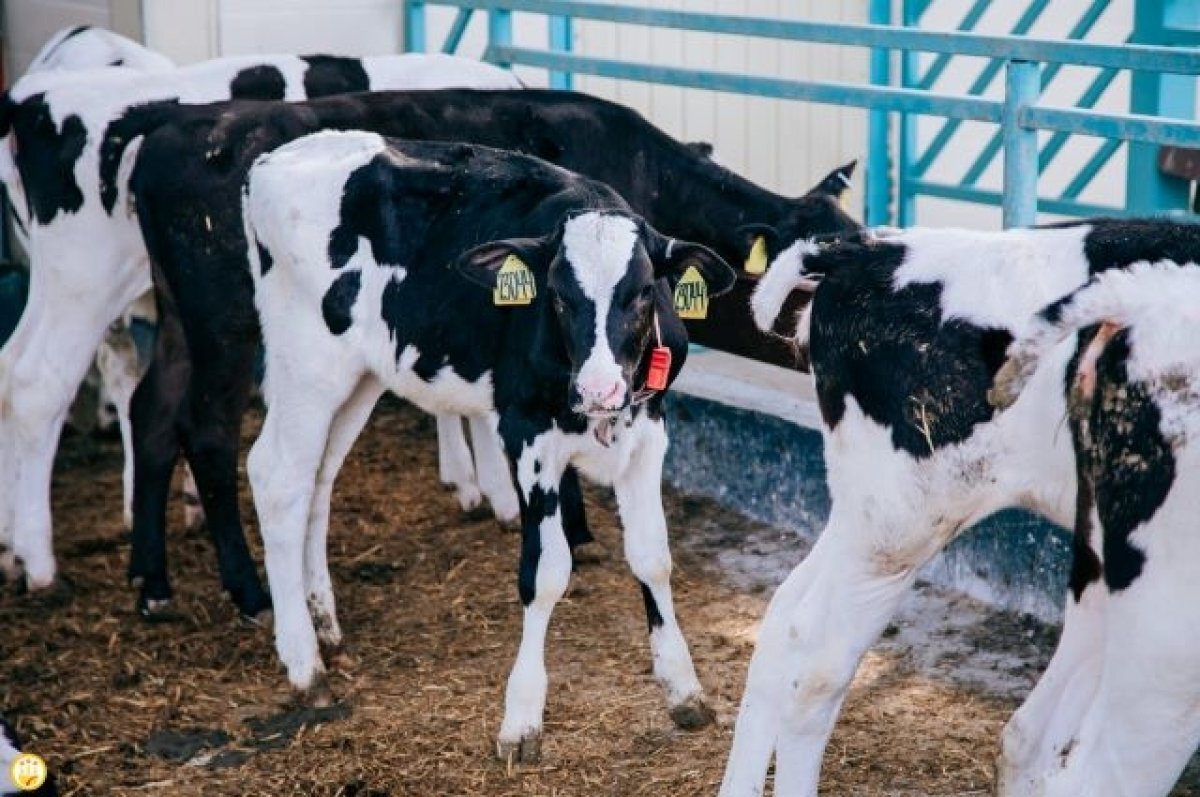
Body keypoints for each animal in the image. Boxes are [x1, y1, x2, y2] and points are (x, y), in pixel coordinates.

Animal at [0, 49, 520, 600]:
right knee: (46, 388)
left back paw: (107, 568)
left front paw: (475, 484)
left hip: (137, 299)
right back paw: (47, 565)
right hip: (97, 285)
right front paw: (493, 490)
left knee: (86, 389)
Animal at [242, 133, 734, 763]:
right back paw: (305, 666)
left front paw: (684, 689)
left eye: (645, 291)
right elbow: (546, 572)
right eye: (557, 295)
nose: (598, 389)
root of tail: (274, 159)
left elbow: (654, 557)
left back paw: (326, 626)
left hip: (359, 375)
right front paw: (521, 719)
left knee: (318, 480)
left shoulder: (649, 428)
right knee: (278, 478)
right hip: (306, 360)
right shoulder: (526, 434)